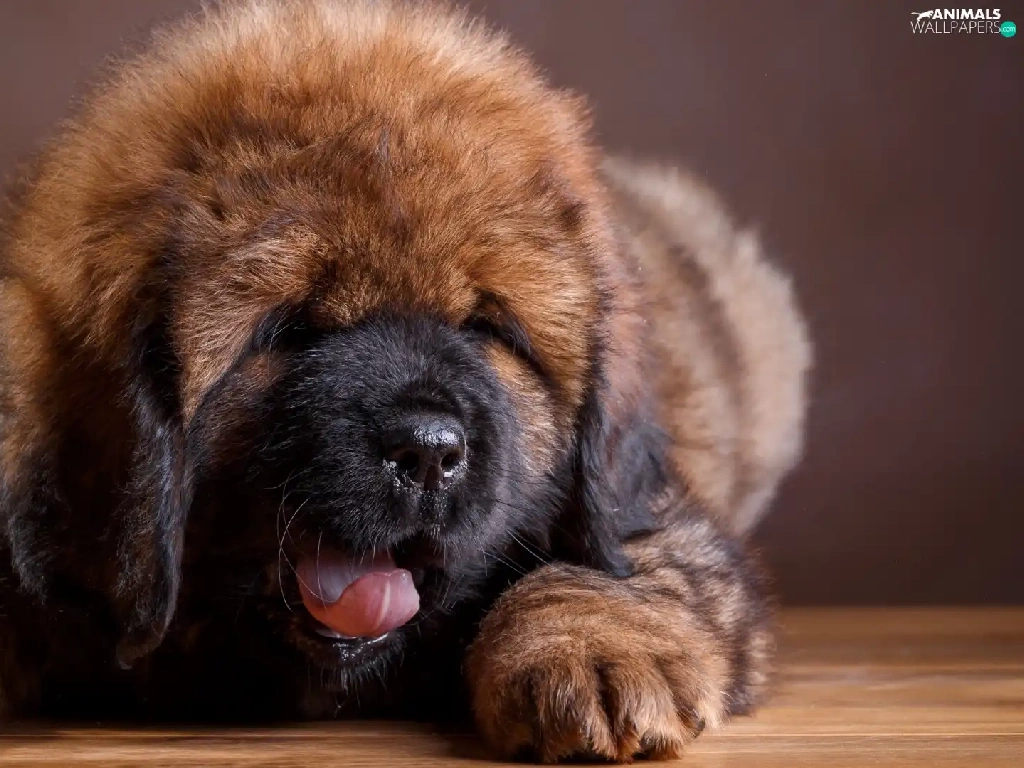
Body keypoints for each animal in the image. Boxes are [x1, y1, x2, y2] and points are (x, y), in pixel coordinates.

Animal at [0, 0, 810, 761]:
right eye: (289, 331)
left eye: (483, 328)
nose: (427, 450)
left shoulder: (649, 514)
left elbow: (606, 569)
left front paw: (591, 655)